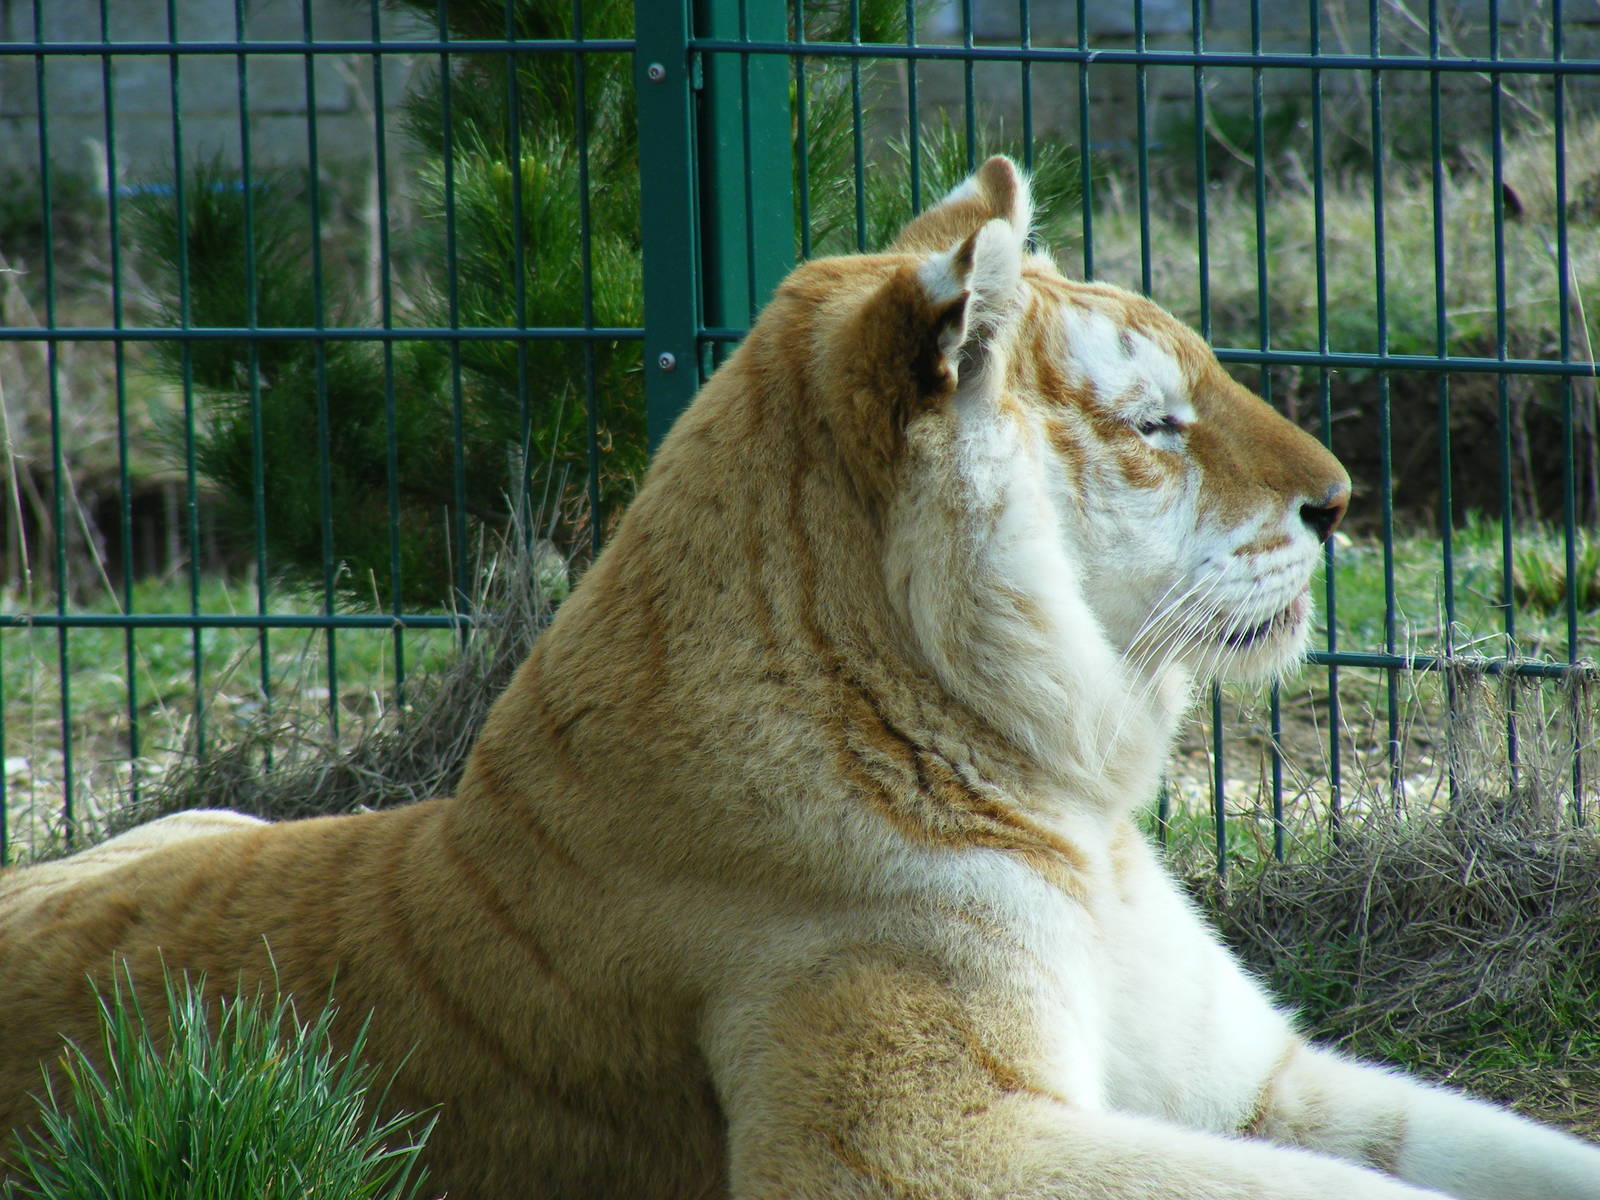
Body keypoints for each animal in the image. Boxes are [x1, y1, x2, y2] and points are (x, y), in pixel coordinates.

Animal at [3, 156, 1597, 1199]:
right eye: (1157, 422)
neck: (1067, 795)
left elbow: (1501, 1151)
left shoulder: (1246, 1078)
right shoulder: (914, 1142)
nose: (1342, 500)